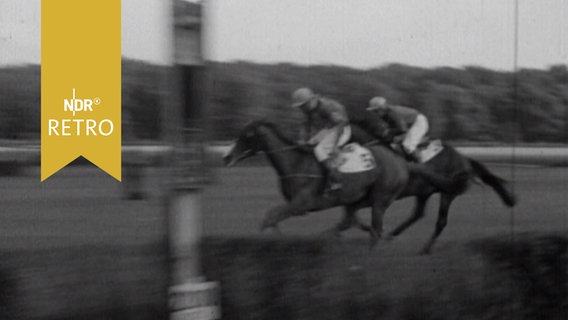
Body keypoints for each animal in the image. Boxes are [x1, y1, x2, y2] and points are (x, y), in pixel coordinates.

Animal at [224, 119, 516, 254]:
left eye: (246, 135)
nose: (226, 158)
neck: (295, 162)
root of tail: (463, 158)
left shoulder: (301, 204)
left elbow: (271, 217)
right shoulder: (304, 205)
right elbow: (271, 218)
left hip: (435, 194)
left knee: (436, 222)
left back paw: (417, 247)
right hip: (405, 194)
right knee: (409, 215)